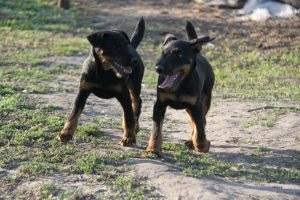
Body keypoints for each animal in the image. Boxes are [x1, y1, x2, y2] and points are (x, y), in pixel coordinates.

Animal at [59, 18, 145, 146]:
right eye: (115, 46)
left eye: (126, 44)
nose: (135, 61)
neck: (105, 72)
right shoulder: (83, 92)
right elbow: (74, 114)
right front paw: (66, 133)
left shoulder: (123, 95)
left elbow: (129, 118)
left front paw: (129, 138)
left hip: (135, 84)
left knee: (136, 104)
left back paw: (135, 126)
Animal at [146, 20, 214, 156]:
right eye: (163, 54)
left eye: (179, 55)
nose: (158, 68)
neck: (179, 87)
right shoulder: (159, 105)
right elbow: (156, 129)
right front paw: (152, 149)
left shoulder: (196, 106)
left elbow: (200, 129)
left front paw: (203, 146)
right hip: (188, 109)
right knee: (192, 122)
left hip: (205, 100)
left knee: (201, 122)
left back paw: (192, 142)